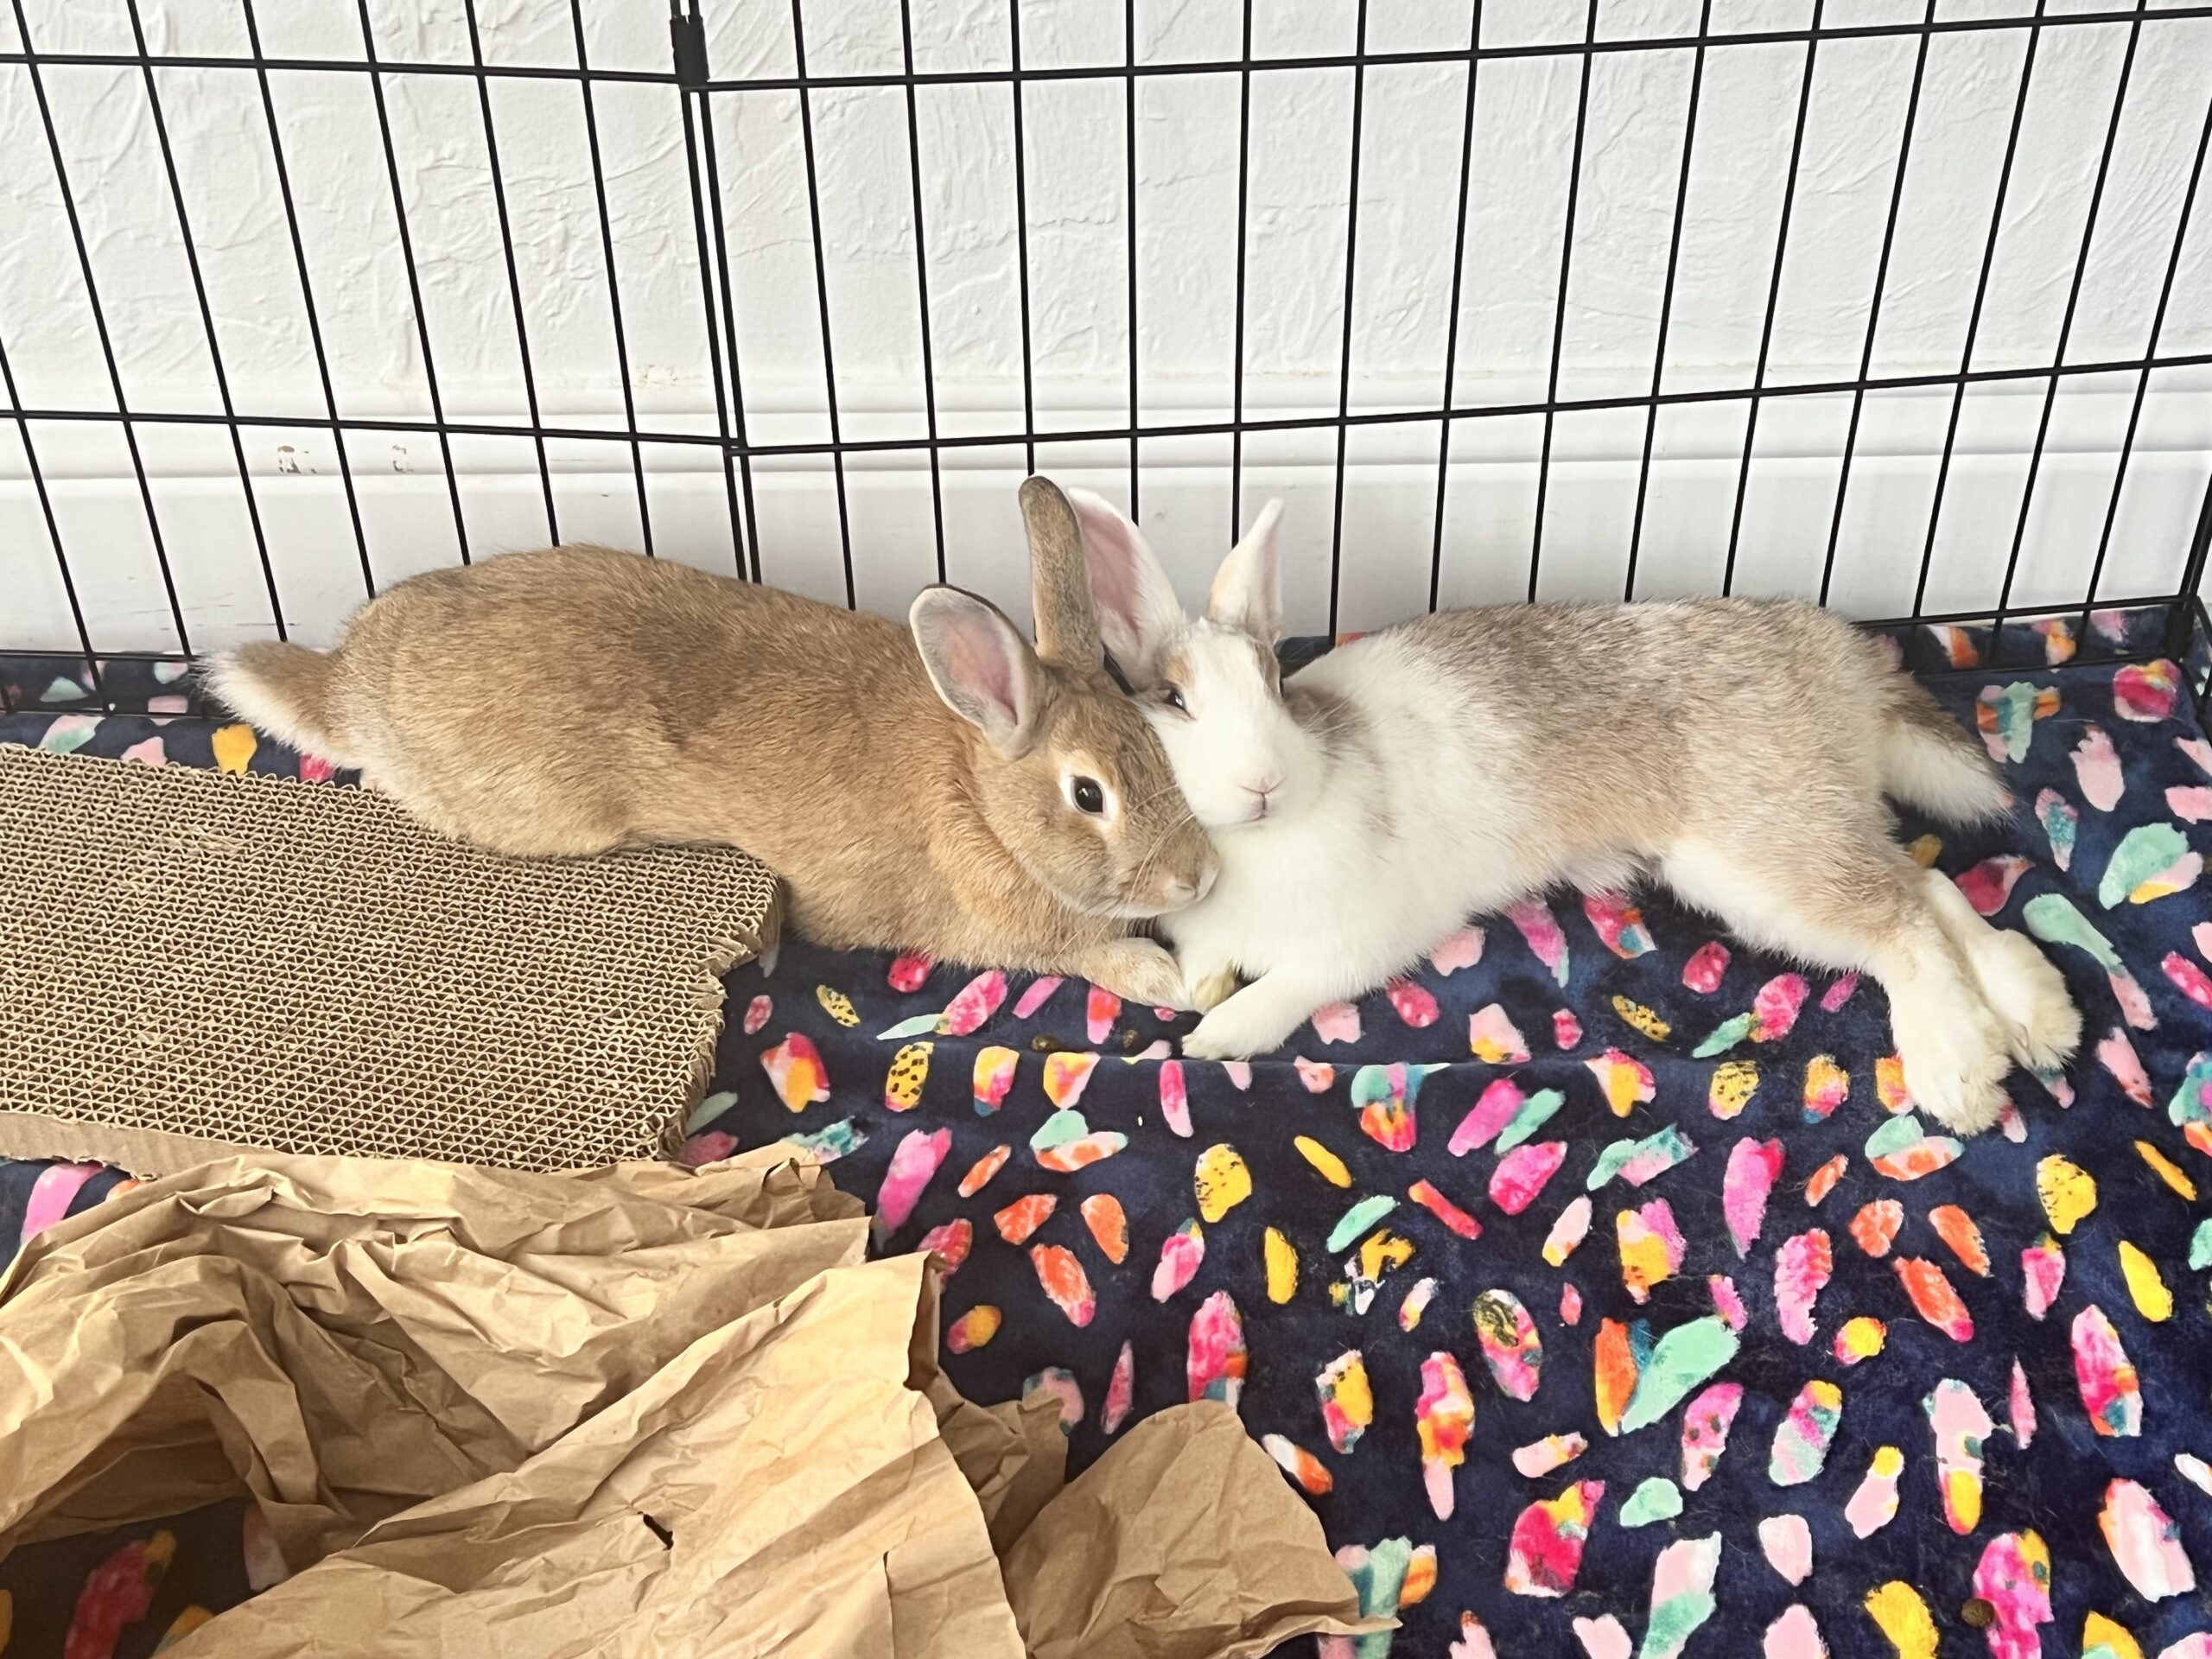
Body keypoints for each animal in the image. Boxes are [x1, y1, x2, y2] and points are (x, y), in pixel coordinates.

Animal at [207, 473, 1221, 1008]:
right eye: (1088, 795)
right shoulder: (989, 927)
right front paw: (1156, 973)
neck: (978, 791)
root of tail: (350, 683)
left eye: (1155, 735)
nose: (1200, 875)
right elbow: (1077, 952)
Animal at [1065, 486, 2070, 1141]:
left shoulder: (1361, 941)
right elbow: (1203, 967)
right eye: (1171, 700)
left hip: (1759, 854)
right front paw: (1197, 995)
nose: (1262, 782)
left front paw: (1214, 1036)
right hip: (1793, 837)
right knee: (1926, 884)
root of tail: (1841, 664)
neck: (1259, 839)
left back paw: (1959, 1073)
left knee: (1901, 922)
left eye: (1274, 684)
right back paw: (2039, 1018)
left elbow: (1286, 990)